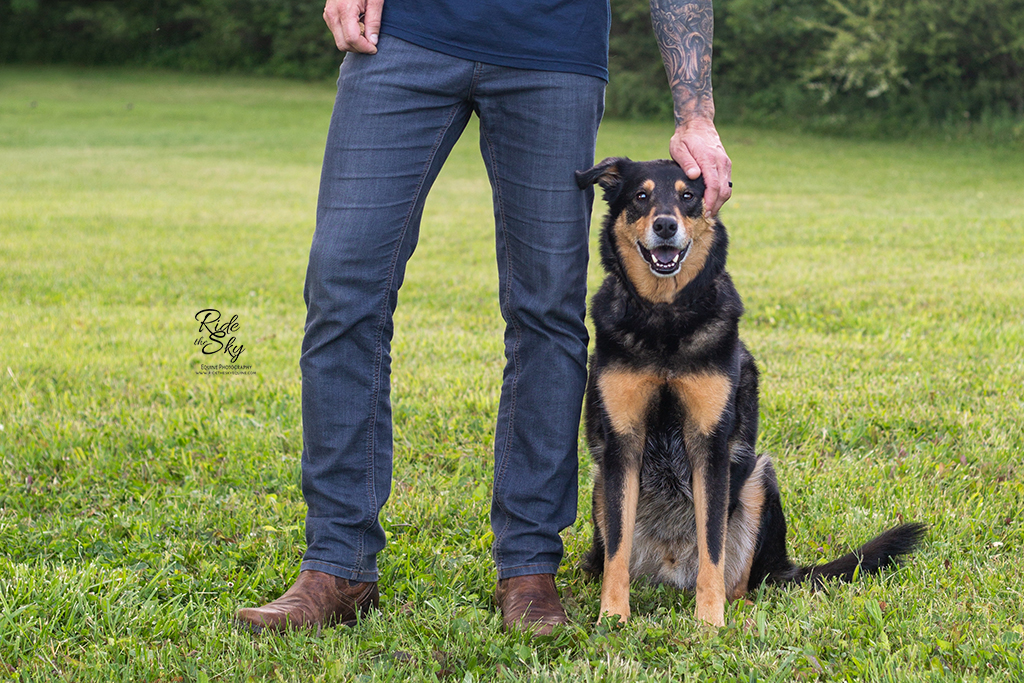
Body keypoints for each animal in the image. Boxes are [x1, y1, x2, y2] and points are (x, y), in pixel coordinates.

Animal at [577, 157, 929, 626]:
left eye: (688, 197)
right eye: (641, 196)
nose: (666, 225)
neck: (665, 319)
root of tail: (670, 571)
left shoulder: (710, 448)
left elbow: (713, 545)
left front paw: (709, 623)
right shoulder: (622, 446)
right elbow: (617, 549)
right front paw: (612, 618)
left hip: (759, 477)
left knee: (740, 578)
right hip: (601, 484)